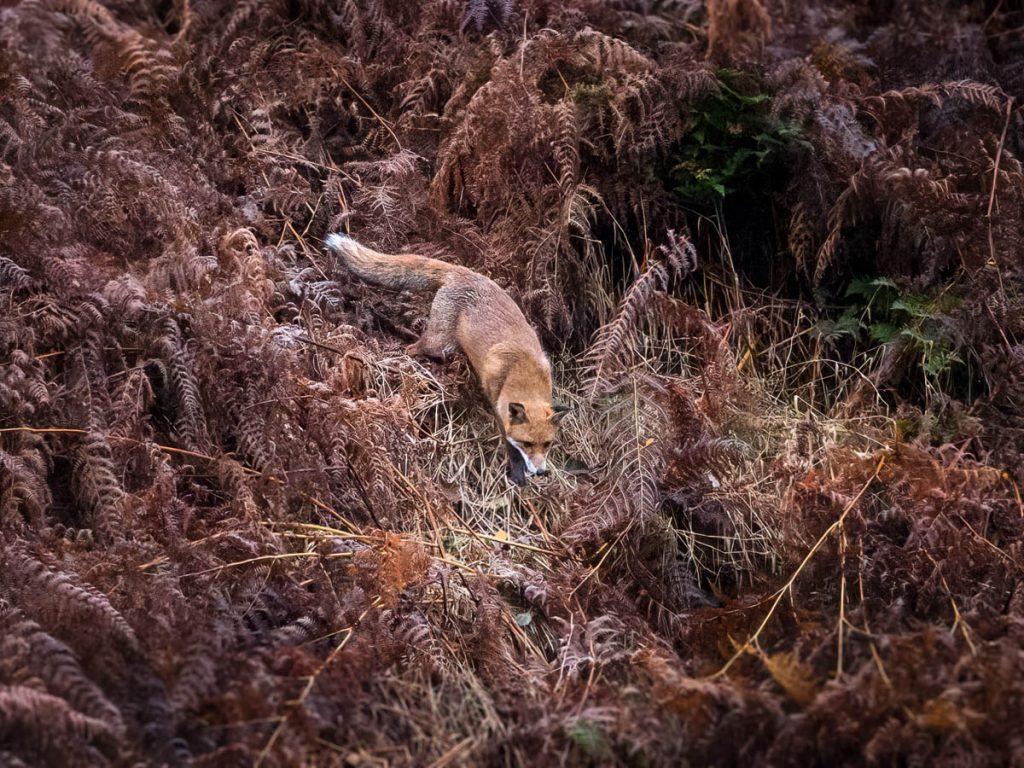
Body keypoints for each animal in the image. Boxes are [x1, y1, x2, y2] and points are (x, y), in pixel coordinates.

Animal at [325, 233, 567, 482]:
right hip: (439, 341)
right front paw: (516, 470)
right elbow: (505, 438)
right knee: (414, 348)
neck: (521, 369)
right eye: (527, 444)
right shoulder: (495, 398)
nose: (541, 472)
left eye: (547, 444)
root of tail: (462, 270)